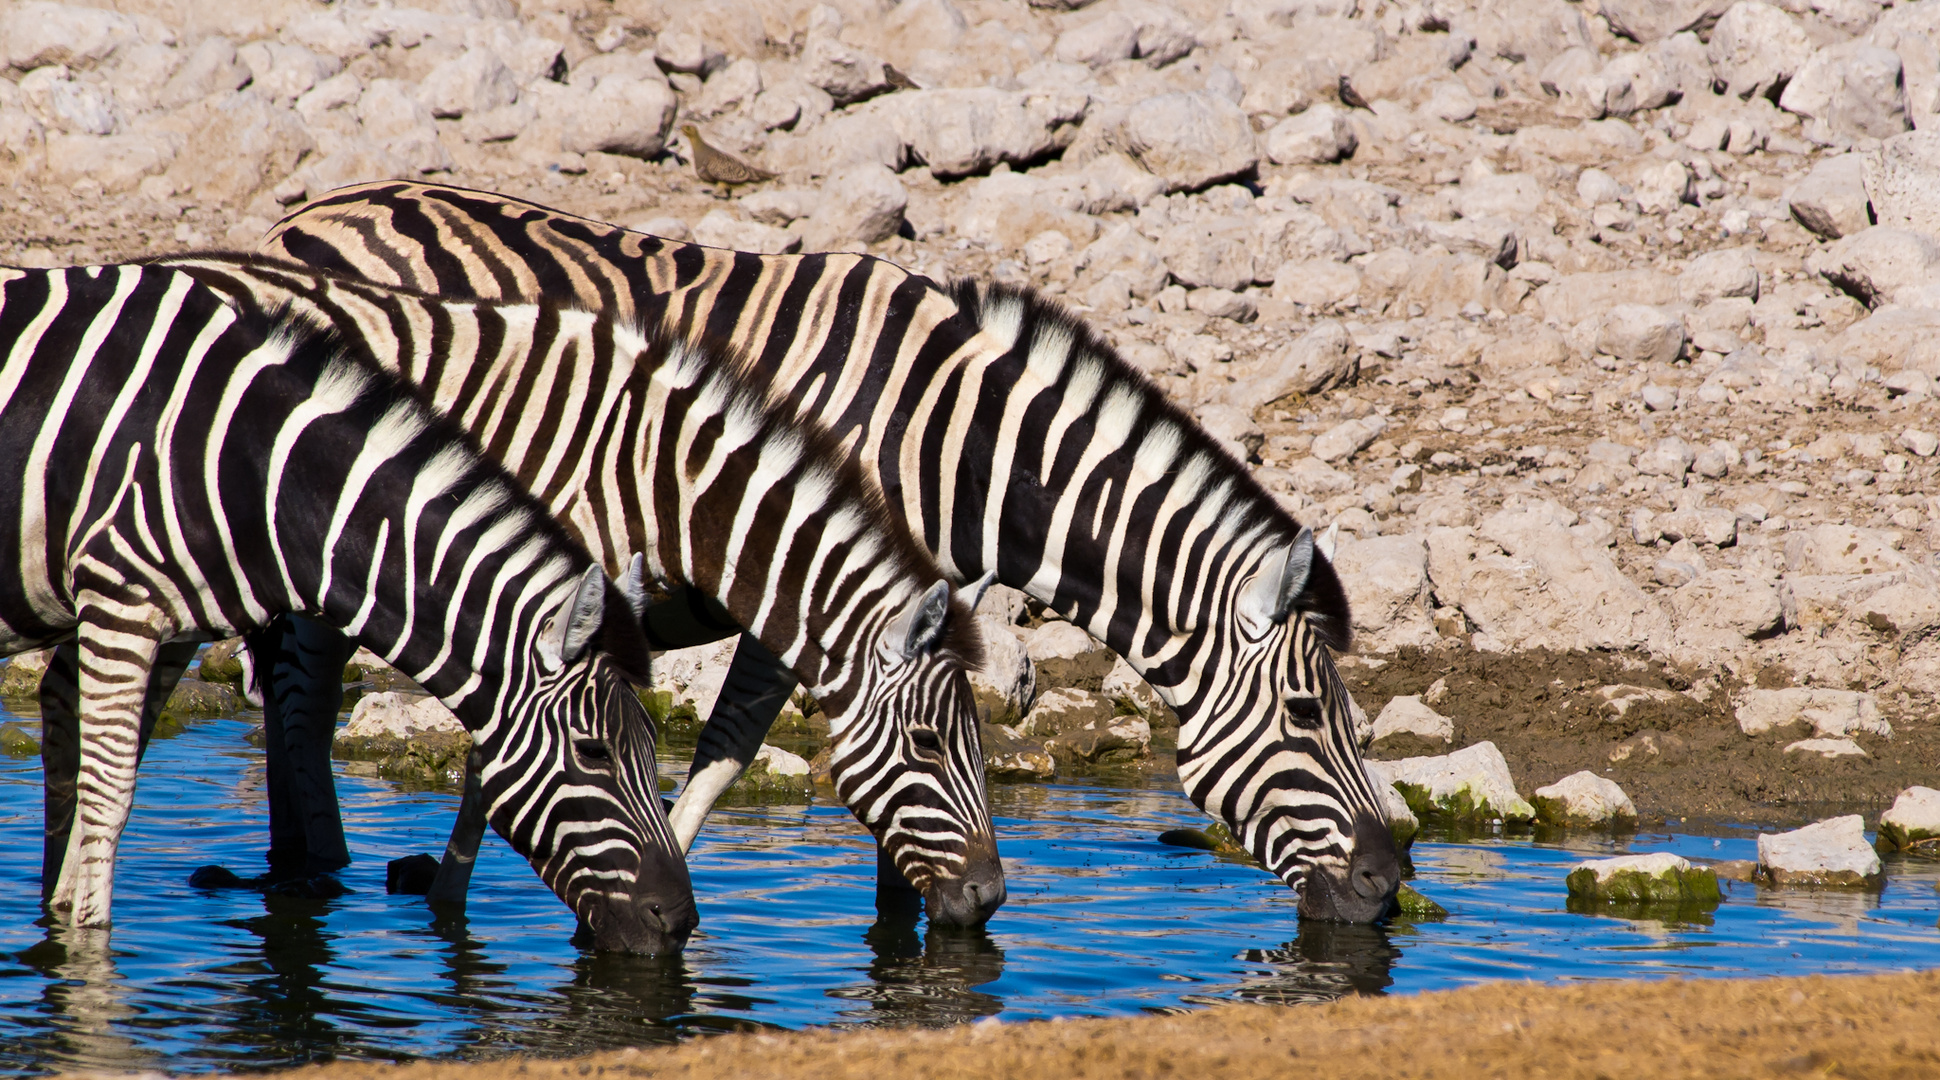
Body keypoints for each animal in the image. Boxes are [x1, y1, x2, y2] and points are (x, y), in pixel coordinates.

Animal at [0, 263, 694, 950]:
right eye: (593, 751)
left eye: (654, 743)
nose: (681, 921)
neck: (250, 470)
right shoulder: (120, 603)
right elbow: (109, 795)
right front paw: (87, 952)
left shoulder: (164, 621)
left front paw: (64, 915)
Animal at [261, 181, 1412, 922]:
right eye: (1309, 715)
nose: (1386, 886)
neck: (949, 442)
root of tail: (307, 215)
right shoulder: (792, 589)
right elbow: (726, 750)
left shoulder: (891, 608)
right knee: (298, 692)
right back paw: (310, 875)